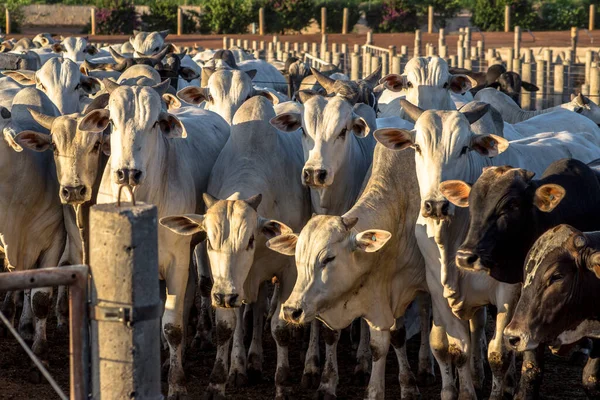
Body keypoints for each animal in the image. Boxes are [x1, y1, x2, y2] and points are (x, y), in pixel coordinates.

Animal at [85, 83, 231, 396]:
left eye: (154, 123)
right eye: (111, 122)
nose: (127, 172)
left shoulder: (177, 261)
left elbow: (172, 326)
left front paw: (177, 384)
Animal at [162, 97, 312, 400]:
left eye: (250, 240)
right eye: (209, 241)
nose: (225, 296)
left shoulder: (288, 271)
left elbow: (280, 328)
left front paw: (282, 384)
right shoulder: (227, 282)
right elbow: (226, 327)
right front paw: (219, 380)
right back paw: (243, 364)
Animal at [378, 101, 600, 398]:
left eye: (464, 148)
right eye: (417, 147)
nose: (436, 205)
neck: (454, 240)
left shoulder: (508, 293)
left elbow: (499, 354)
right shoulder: (437, 290)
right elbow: (455, 349)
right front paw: (464, 390)